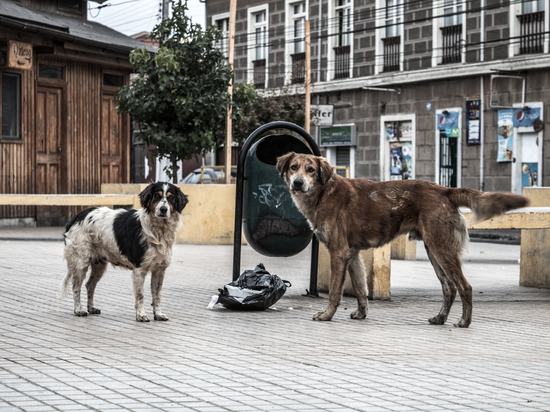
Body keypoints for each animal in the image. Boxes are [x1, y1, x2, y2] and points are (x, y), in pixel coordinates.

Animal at [60, 183, 189, 322]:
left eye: (171, 198)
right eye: (156, 196)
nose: (164, 209)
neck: (159, 231)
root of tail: (77, 216)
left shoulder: (159, 270)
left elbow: (157, 295)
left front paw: (158, 314)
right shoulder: (139, 269)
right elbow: (140, 295)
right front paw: (141, 315)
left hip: (99, 265)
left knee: (89, 285)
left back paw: (91, 308)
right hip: (80, 262)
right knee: (76, 287)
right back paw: (78, 310)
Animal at [278, 152, 532, 328]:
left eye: (311, 170)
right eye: (294, 167)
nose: (298, 183)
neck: (323, 194)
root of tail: (445, 190)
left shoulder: (339, 253)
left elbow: (334, 291)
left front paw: (327, 315)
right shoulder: (353, 254)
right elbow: (360, 288)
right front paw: (361, 313)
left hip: (442, 250)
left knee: (464, 286)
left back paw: (464, 322)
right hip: (433, 250)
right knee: (449, 287)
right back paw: (440, 318)